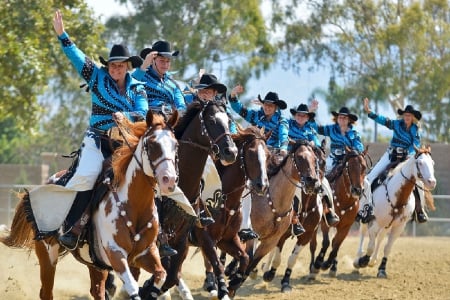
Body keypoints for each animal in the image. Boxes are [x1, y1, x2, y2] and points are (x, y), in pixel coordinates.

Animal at [1, 110, 181, 300]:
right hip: (48, 254)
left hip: (95, 264)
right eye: (152, 144)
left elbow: (161, 275)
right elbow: (132, 286)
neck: (135, 206)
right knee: (47, 292)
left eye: (175, 145)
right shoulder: (115, 254)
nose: (169, 180)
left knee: (97, 290)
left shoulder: (145, 254)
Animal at [139, 100, 239, 300]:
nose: (231, 152)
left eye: (228, 120)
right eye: (211, 120)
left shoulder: (184, 238)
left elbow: (171, 275)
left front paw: (148, 289)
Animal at [310, 146, 370, 278]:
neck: (344, 200)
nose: (357, 190)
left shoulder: (345, 227)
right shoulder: (326, 223)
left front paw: (328, 264)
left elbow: (336, 245)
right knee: (313, 245)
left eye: (364, 167)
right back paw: (312, 268)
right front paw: (318, 263)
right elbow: (326, 242)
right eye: (349, 167)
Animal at [354, 145, 438, 276]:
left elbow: (387, 248)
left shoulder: (399, 227)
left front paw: (381, 269)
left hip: (387, 225)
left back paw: (373, 260)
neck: (397, 197)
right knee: (363, 234)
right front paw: (362, 261)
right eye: (420, 162)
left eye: (432, 163)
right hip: (366, 219)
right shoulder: (375, 222)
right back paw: (358, 259)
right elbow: (370, 246)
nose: (432, 182)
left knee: (380, 237)